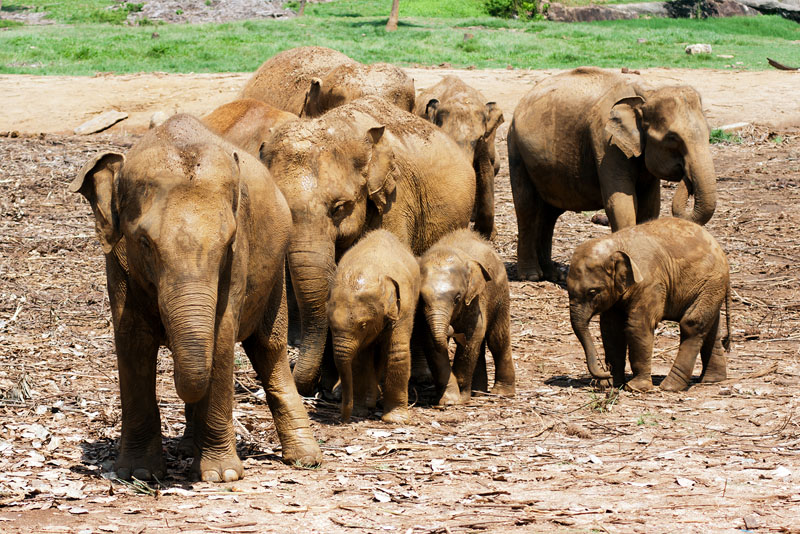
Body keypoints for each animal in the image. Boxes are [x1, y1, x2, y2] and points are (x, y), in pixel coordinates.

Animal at [260, 95, 476, 398]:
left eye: (339, 207)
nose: (306, 387)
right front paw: (332, 386)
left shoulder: (395, 200)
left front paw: (344, 388)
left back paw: (419, 377)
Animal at [328, 232, 422, 426]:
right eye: (330, 325)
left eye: (363, 325)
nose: (343, 420)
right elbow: (359, 359)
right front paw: (360, 412)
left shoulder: (404, 305)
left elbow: (398, 352)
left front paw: (396, 420)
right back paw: (370, 400)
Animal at [416, 228, 516, 404]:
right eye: (422, 299)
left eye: (457, 298)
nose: (450, 328)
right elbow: (430, 342)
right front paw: (447, 401)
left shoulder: (474, 300)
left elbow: (472, 336)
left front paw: (461, 399)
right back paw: (478, 393)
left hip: (501, 293)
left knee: (497, 339)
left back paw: (501, 393)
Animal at [510, 68, 716, 284]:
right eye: (672, 138)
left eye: (709, 133)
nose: (687, 176)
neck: (646, 93)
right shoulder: (606, 144)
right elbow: (621, 204)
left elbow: (650, 207)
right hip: (515, 148)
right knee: (526, 206)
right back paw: (531, 276)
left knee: (550, 213)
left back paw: (554, 274)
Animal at [568, 218, 732, 394]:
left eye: (592, 292)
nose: (605, 373)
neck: (617, 242)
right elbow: (610, 329)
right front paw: (613, 384)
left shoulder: (651, 284)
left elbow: (638, 326)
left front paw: (635, 387)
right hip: (712, 289)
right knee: (711, 328)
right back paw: (711, 379)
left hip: (710, 284)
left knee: (692, 323)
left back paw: (670, 386)